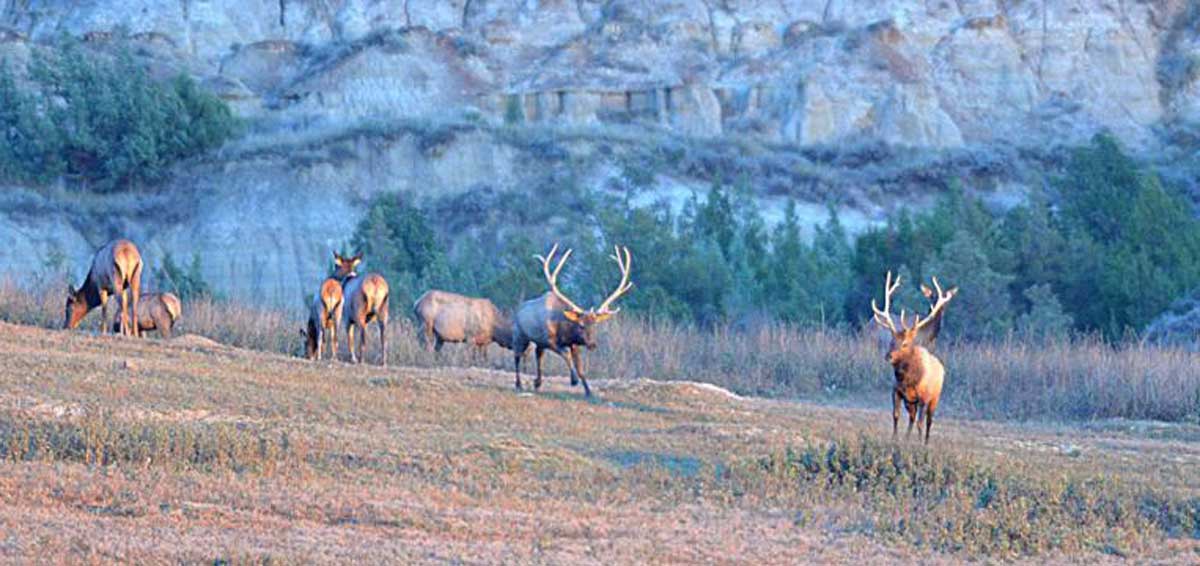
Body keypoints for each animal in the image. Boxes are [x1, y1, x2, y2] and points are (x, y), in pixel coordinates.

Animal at [512, 243, 633, 397]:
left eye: (595, 325)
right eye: (581, 325)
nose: (592, 344)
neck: (565, 330)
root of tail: (517, 309)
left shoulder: (573, 344)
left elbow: (580, 367)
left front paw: (588, 391)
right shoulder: (550, 340)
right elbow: (566, 354)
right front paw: (573, 380)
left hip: (538, 342)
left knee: (538, 355)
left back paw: (537, 382)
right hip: (520, 335)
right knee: (517, 356)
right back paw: (519, 384)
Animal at [870, 271, 955, 445]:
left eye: (905, 343)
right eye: (891, 340)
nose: (888, 356)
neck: (908, 379)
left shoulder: (924, 397)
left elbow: (921, 424)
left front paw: (920, 443)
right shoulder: (897, 392)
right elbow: (896, 416)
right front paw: (895, 439)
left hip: (935, 398)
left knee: (929, 420)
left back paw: (926, 442)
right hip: (910, 402)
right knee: (911, 417)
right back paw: (907, 437)